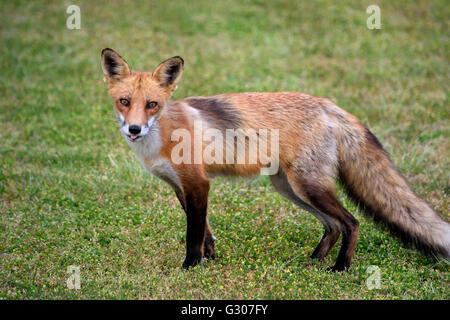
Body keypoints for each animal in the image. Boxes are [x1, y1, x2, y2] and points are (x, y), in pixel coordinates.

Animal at [102, 48, 450, 272]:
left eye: (152, 104)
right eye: (124, 102)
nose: (134, 129)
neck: (162, 136)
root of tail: (329, 104)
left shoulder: (198, 183)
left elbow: (193, 234)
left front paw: (190, 267)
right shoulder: (180, 187)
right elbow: (206, 231)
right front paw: (210, 260)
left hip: (307, 186)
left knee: (351, 222)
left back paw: (341, 268)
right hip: (289, 187)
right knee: (333, 225)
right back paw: (314, 261)